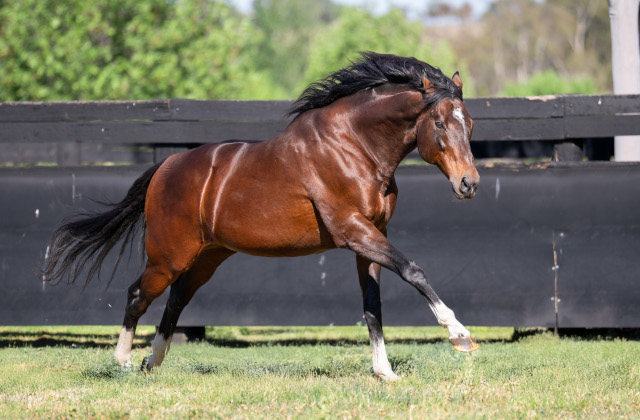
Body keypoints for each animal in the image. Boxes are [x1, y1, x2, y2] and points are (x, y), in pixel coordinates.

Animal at [41, 51, 480, 380]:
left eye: (471, 123)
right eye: (439, 122)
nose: (469, 183)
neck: (355, 147)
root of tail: (166, 166)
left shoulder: (370, 236)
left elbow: (373, 307)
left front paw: (384, 372)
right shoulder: (353, 230)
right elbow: (413, 271)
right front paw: (459, 334)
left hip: (207, 256)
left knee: (177, 299)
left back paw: (153, 360)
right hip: (167, 256)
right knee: (139, 295)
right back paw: (124, 361)